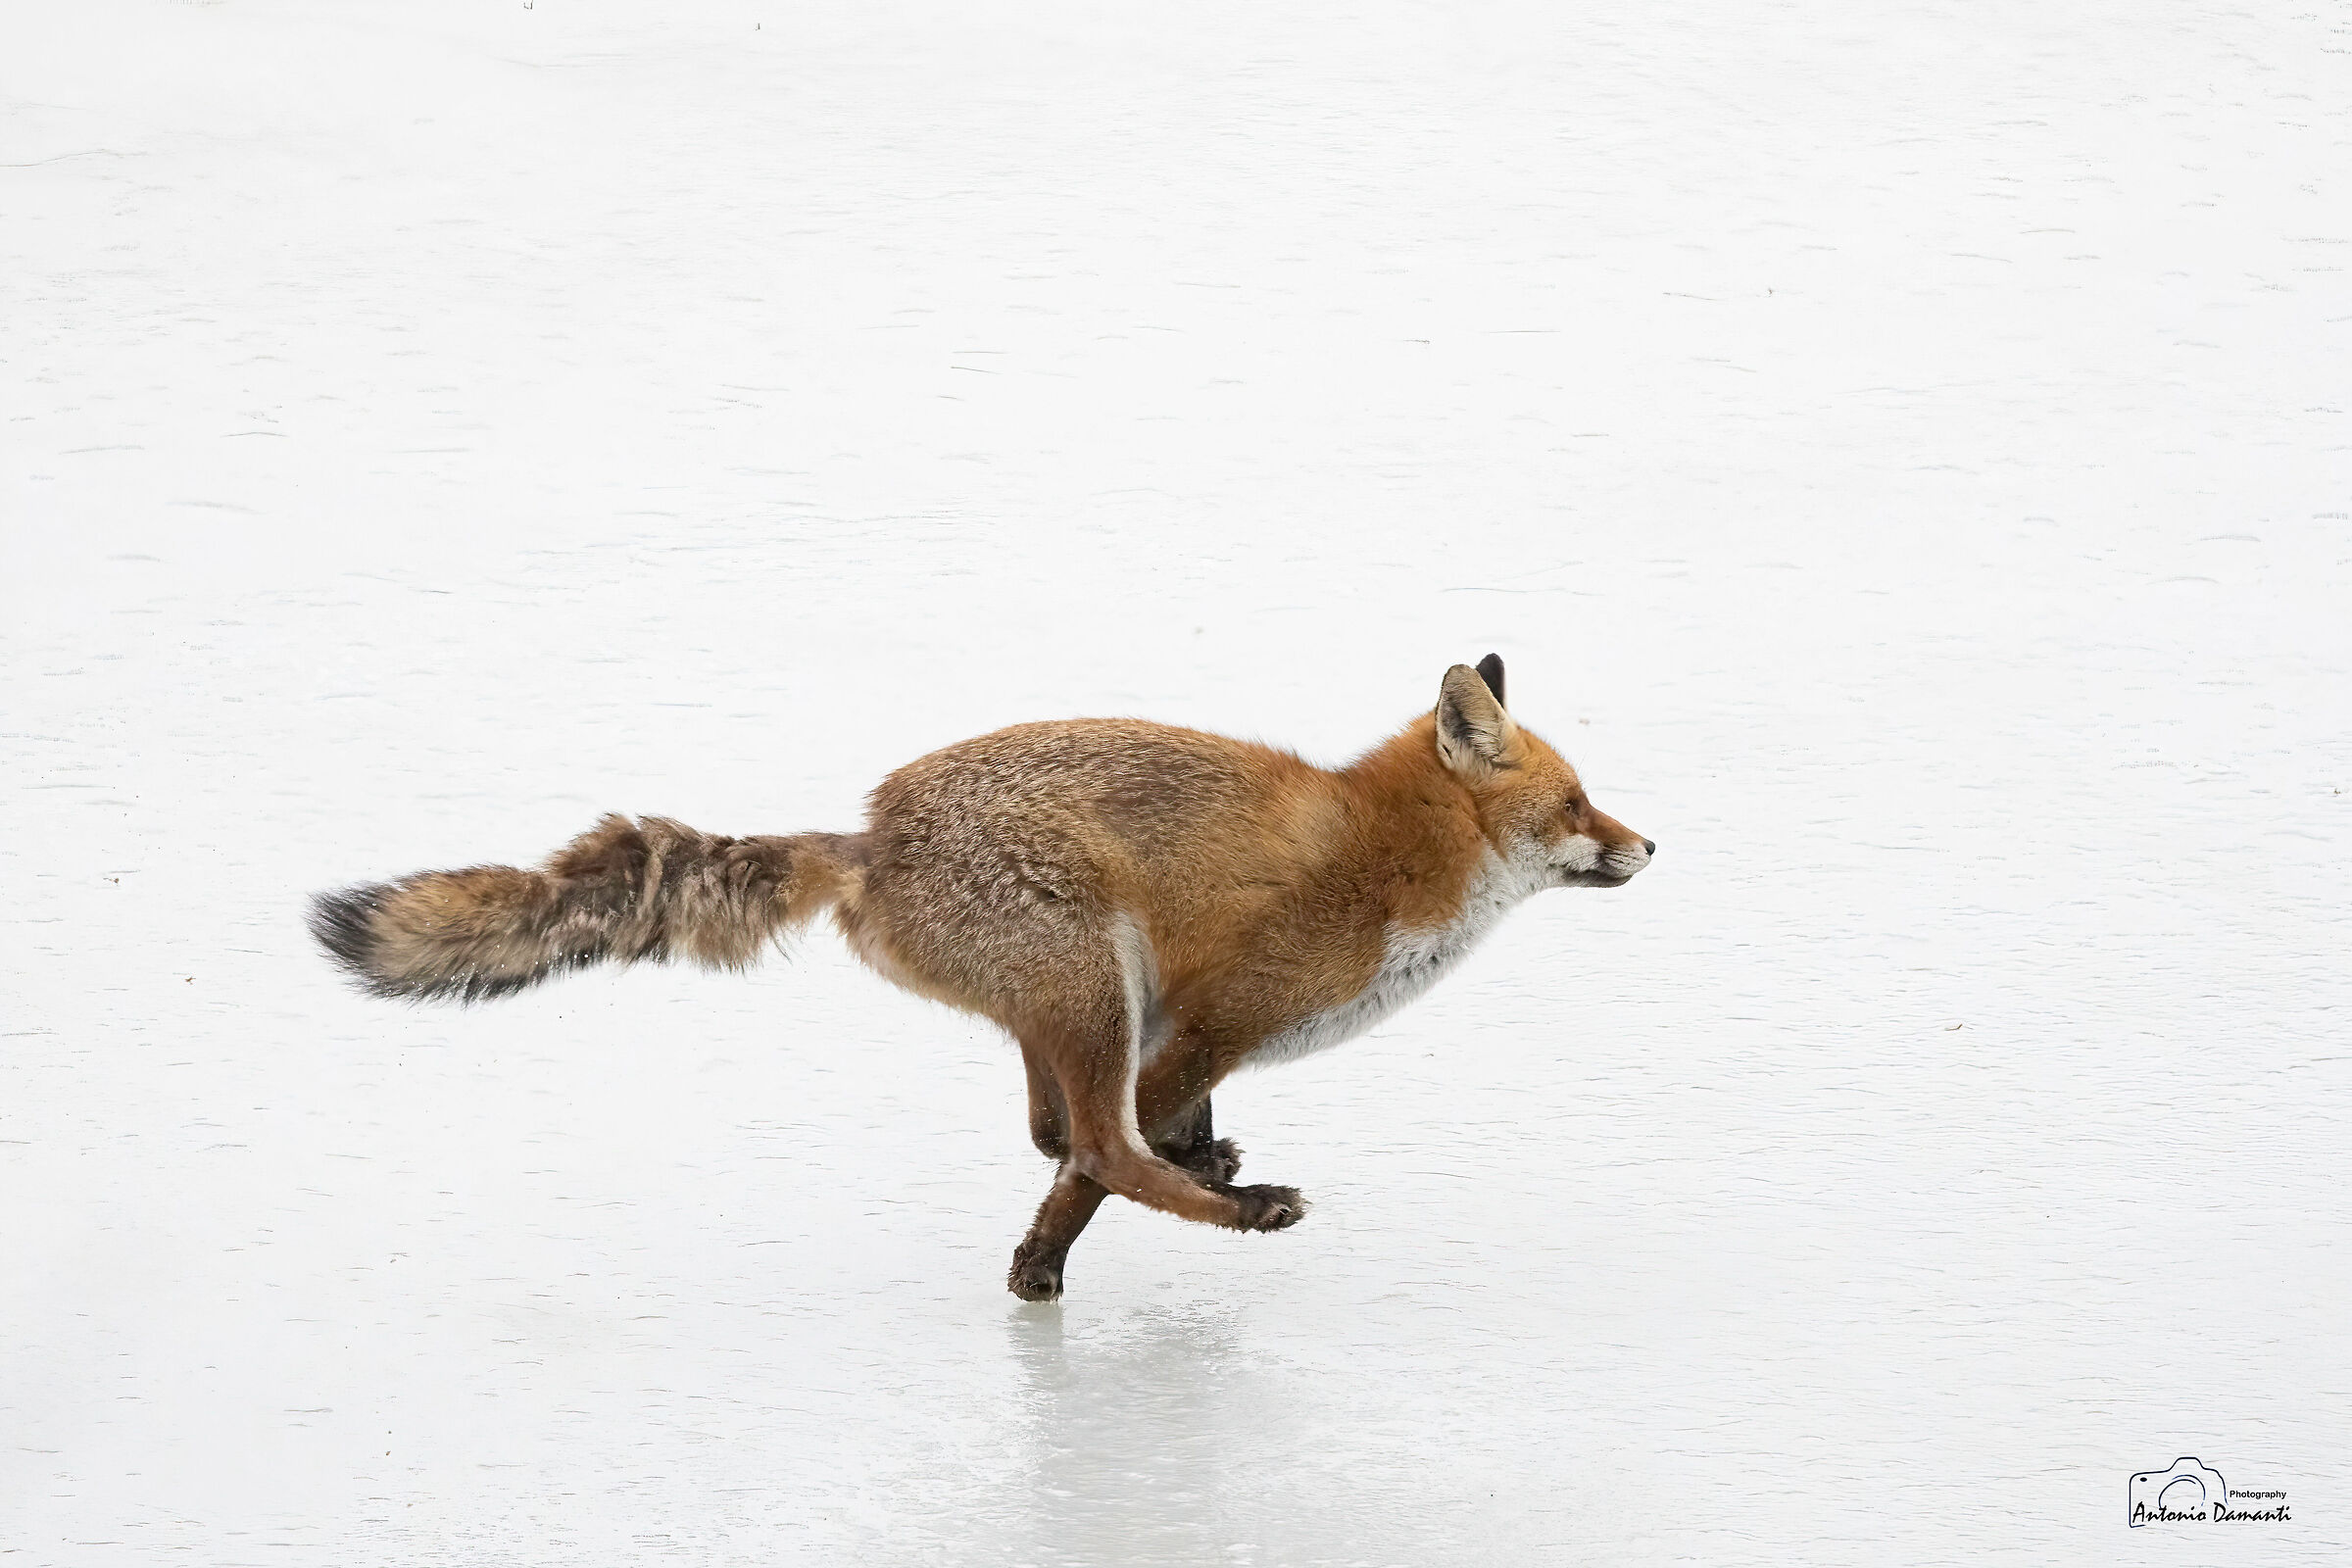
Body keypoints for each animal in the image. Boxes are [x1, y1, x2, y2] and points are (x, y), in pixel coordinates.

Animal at [310, 655, 1654, 1300]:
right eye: (1578, 803)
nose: (1650, 846)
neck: (1396, 861)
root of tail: (868, 837)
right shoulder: (1217, 1013)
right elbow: (1097, 1170)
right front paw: (1043, 1265)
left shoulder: (1183, 1030)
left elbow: (1109, 1143)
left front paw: (1179, 1171)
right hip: (1093, 986)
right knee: (1093, 1139)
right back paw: (1239, 1205)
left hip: (1070, 1001)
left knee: (1053, 1123)